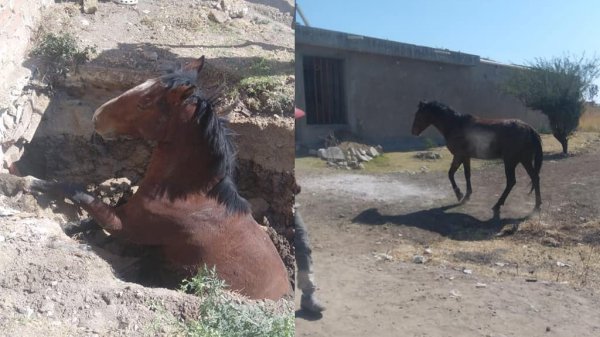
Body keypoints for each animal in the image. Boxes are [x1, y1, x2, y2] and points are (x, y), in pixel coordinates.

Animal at [33, 55, 290, 300]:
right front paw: (70, 225)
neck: (188, 198)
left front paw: (31, 182)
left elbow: (79, 193)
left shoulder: (123, 226)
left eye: (146, 102)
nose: (97, 118)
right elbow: (90, 210)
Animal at [412, 100, 544, 217]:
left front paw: (459, 194)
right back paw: (536, 206)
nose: (413, 131)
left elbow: (450, 174)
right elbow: (467, 174)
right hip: (524, 160)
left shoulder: (459, 155)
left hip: (510, 162)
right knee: (535, 178)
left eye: (419, 114)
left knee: (511, 182)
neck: (456, 124)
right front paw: (467, 196)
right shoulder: (466, 157)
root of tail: (529, 129)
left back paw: (498, 205)